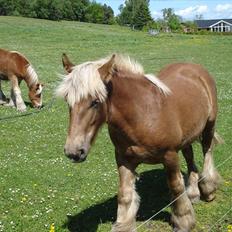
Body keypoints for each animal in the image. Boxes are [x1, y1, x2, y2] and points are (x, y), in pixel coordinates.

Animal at [56, 53, 221, 231]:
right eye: (68, 101)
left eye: (95, 102)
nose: (73, 151)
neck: (142, 114)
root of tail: (195, 68)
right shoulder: (124, 159)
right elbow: (125, 194)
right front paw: (123, 224)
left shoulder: (170, 156)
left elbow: (176, 186)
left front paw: (184, 220)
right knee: (190, 158)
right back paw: (193, 194)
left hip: (209, 125)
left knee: (207, 150)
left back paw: (209, 189)